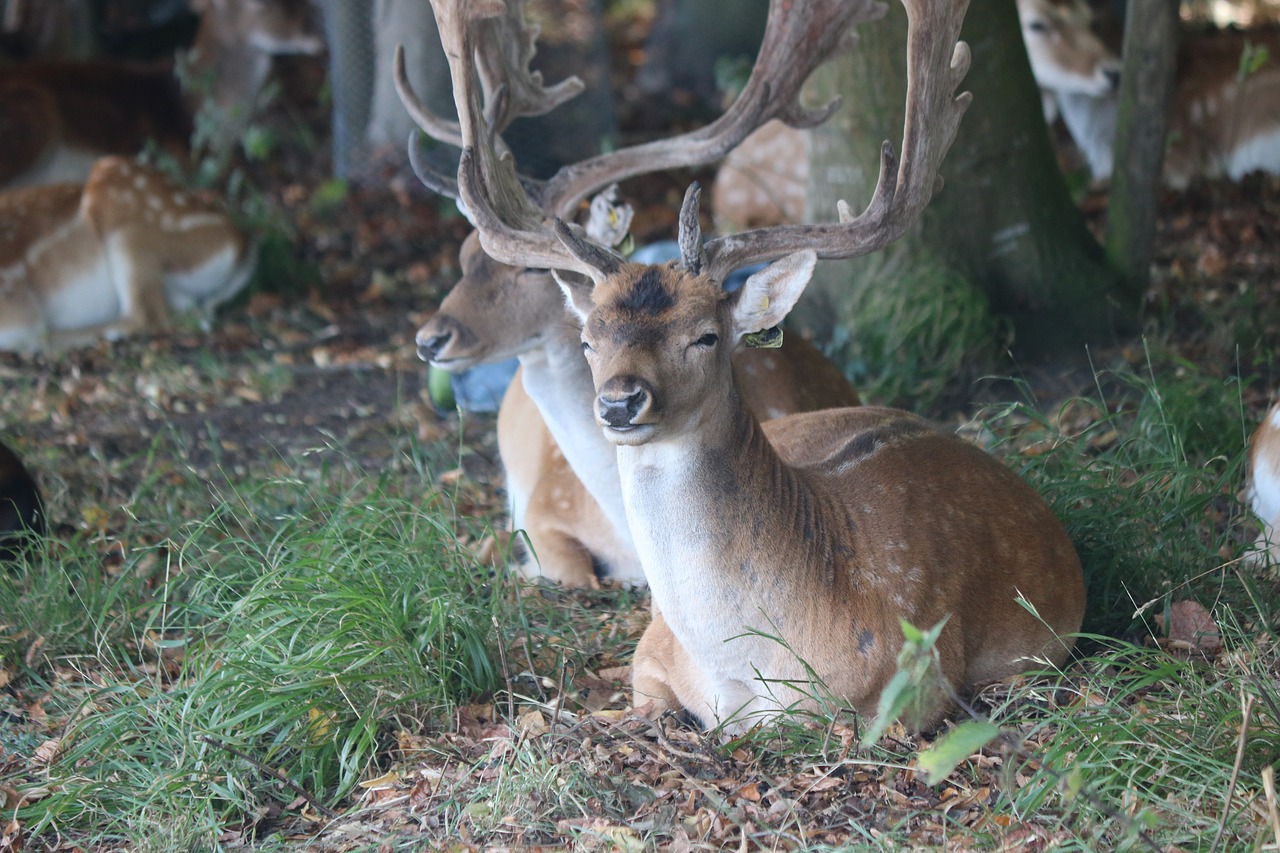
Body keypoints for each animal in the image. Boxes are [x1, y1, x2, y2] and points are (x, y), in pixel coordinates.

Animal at [0, 154, 257, 350]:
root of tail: (242, 243)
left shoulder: (17, 304)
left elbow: (27, 330)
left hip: (129, 230)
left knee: (144, 315)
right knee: (181, 311)